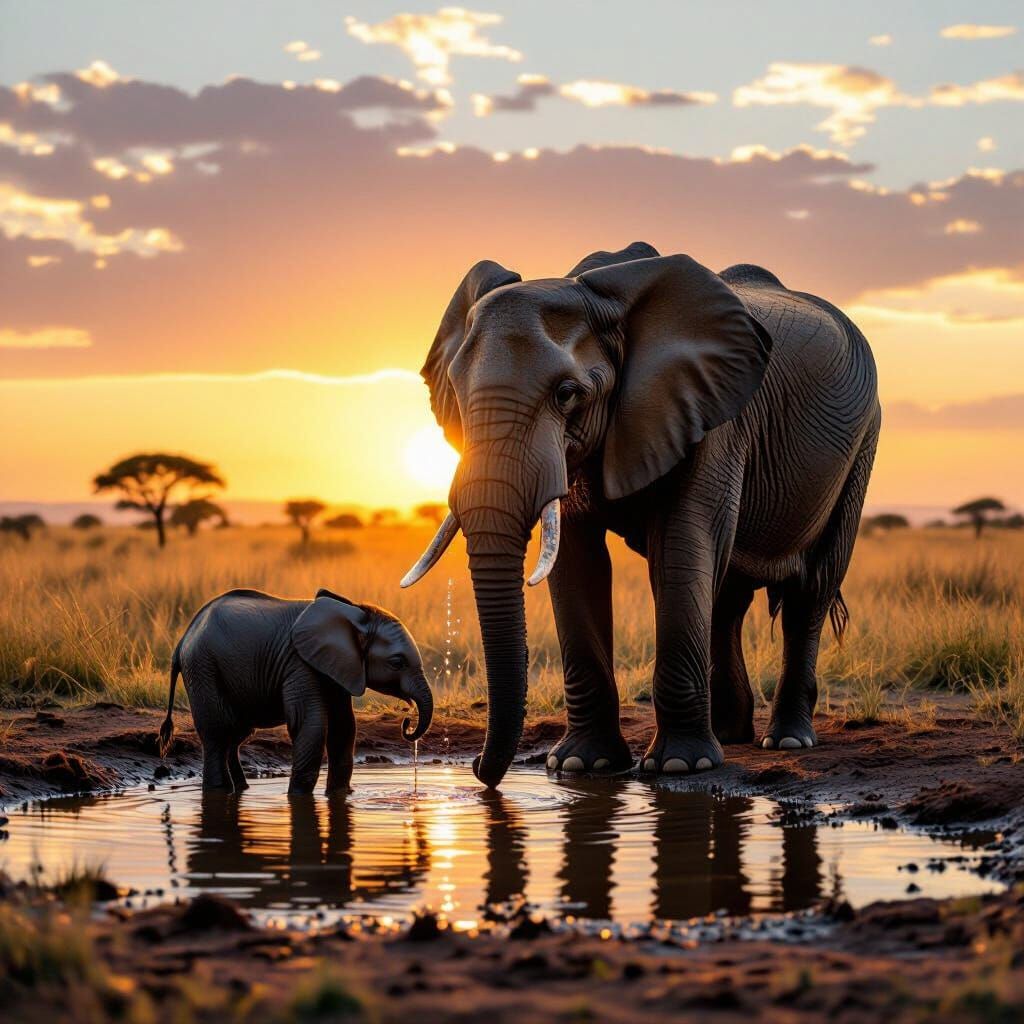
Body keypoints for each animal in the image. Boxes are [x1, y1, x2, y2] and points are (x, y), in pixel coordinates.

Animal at [158, 588, 433, 795]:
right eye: (397, 663)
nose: (407, 722)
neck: (354, 613)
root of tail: (183, 640)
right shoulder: (299, 663)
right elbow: (311, 724)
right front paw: (298, 797)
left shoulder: (338, 666)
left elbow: (344, 726)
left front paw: (340, 795)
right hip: (202, 667)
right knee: (217, 733)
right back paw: (221, 791)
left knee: (236, 734)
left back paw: (242, 788)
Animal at [402, 241, 879, 788]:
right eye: (456, 393)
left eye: (567, 394)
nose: (478, 771)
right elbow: (578, 565)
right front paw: (581, 765)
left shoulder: (711, 415)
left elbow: (679, 548)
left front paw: (679, 766)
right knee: (727, 592)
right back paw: (730, 733)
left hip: (862, 445)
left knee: (811, 589)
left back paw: (785, 741)